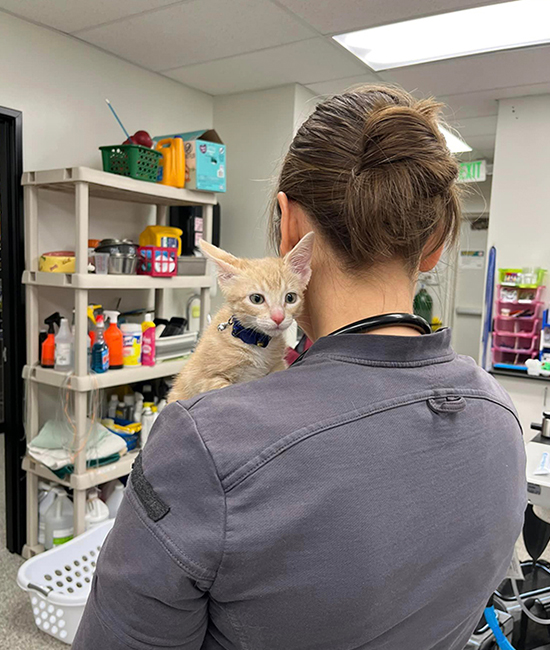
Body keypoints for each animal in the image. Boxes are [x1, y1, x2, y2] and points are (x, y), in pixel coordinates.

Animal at [168, 233, 314, 402]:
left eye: (290, 298)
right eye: (256, 299)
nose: (278, 317)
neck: (255, 343)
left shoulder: (277, 364)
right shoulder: (201, 379)